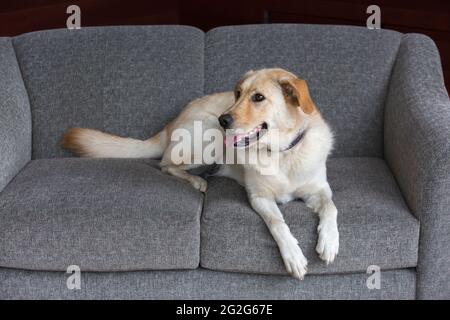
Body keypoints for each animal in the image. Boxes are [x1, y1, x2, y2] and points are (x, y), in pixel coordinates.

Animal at [61, 68, 340, 280]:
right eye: (238, 94)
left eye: (259, 97)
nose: (223, 120)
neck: (281, 153)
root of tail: (171, 123)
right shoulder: (259, 198)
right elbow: (277, 223)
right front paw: (293, 255)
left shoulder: (320, 190)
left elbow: (331, 207)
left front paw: (329, 241)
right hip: (207, 137)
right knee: (166, 163)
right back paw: (197, 180)